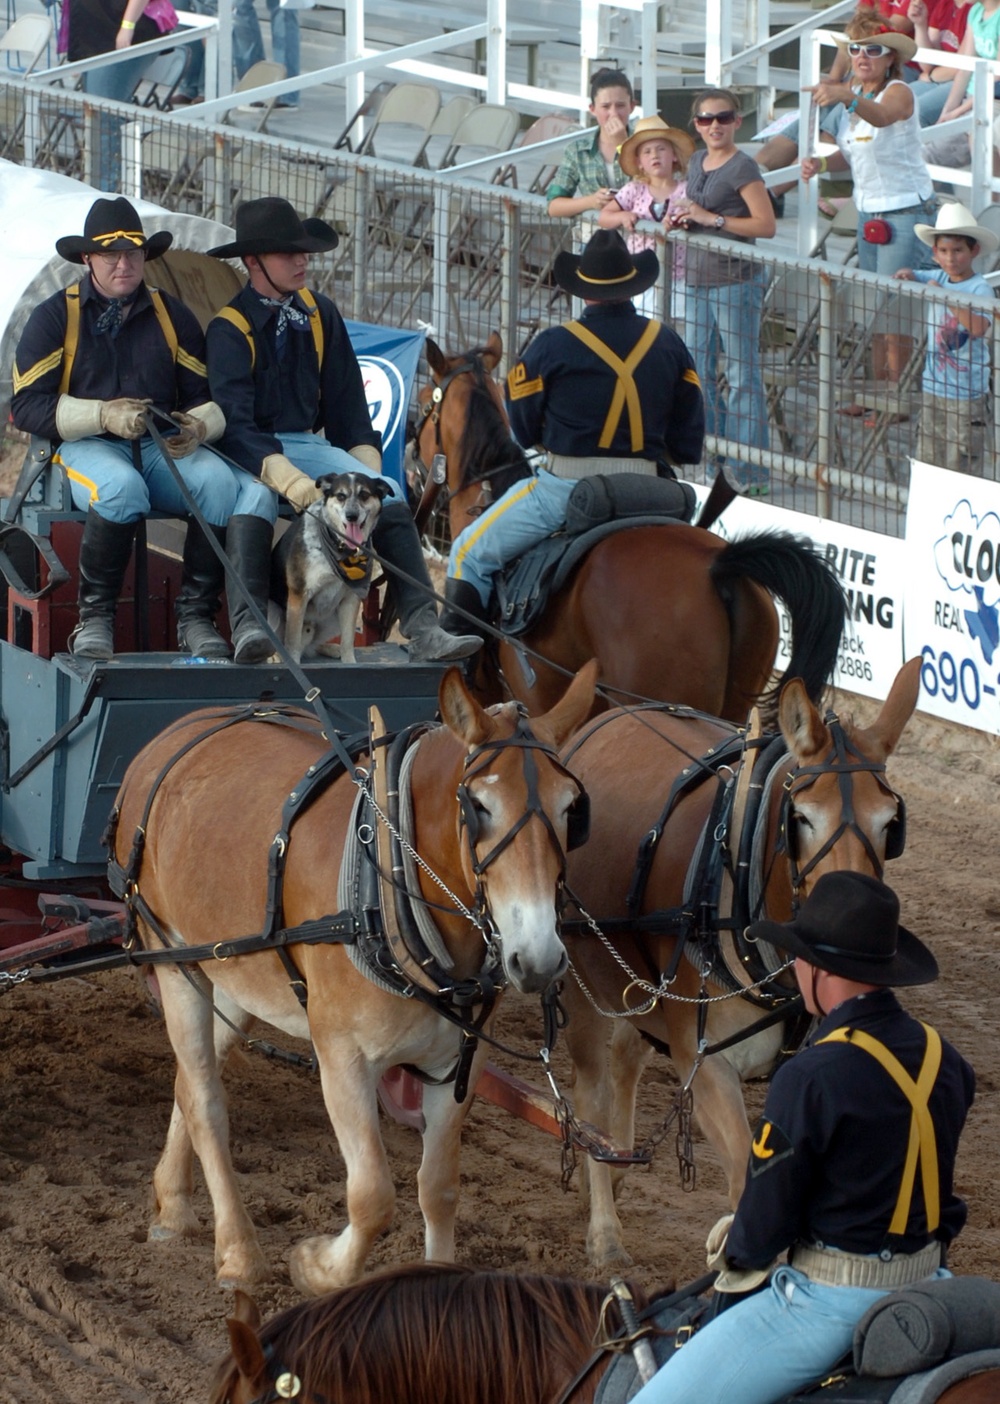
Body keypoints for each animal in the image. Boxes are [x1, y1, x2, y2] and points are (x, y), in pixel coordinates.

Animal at [111, 662, 592, 1286]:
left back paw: (172, 1204)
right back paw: (238, 1251)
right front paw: (317, 1266)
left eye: (571, 809)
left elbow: (439, 1189)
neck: (387, 875)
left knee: (189, 1084)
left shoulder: (457, 1063)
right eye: (479, 807)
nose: (538, 958)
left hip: (233, 978)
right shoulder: (342, 1056)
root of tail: (169, 738)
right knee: (206, 1102)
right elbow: (372, 1198)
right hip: (175, 963)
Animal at [271, 471, 384, 662]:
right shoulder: (299, 595)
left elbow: (348, 641)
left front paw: (349, 662)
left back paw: (331, 648)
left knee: (311, 646)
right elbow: (292, 643)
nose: (351, 515)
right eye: (340, 496)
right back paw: (273, 656)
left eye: (364, 495)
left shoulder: (351, 599)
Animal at [561, 659, 921, 1274]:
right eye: (800, 818)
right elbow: (740, 1184)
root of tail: (608, 717)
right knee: (590, 1093)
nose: (852, 931)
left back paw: (617, 1163)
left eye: (889, 823)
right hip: (580, 978)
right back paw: (605, 1230)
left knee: (627, 1057)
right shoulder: (702, 1063)